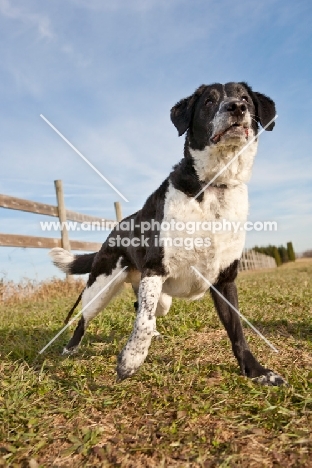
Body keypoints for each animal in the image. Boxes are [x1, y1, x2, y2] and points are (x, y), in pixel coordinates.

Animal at [50, 81, 286, 384]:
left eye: (245, 98)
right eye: (209, 101)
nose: (237, 107)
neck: (213, 184)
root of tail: (114, 231)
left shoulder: (225, 280)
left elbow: (237, 332)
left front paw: (257, 373)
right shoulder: (155, 269)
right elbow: (143, 323)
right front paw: (131, 359)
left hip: (161, 298)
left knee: (139, 306)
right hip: (101, 288)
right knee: (87, 317)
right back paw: (70, 348)